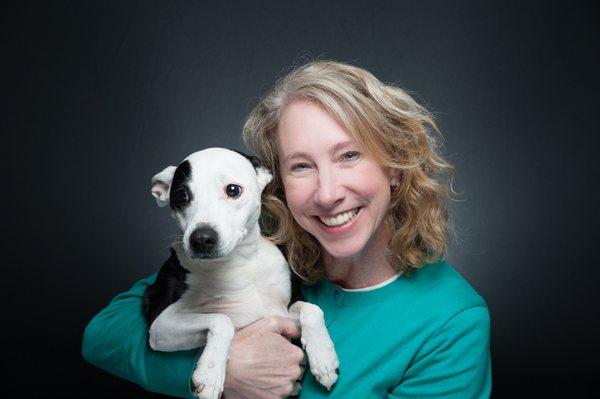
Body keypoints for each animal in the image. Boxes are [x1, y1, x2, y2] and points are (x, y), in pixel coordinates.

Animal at [141, 149, 338, 399]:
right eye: (182, 195)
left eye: (233, 190)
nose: (201, 239)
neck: (238, 264)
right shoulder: (159, 325)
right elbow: (221, 319)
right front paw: (210, 374)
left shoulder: (283, 311)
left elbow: (312, 309)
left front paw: (324, 357)